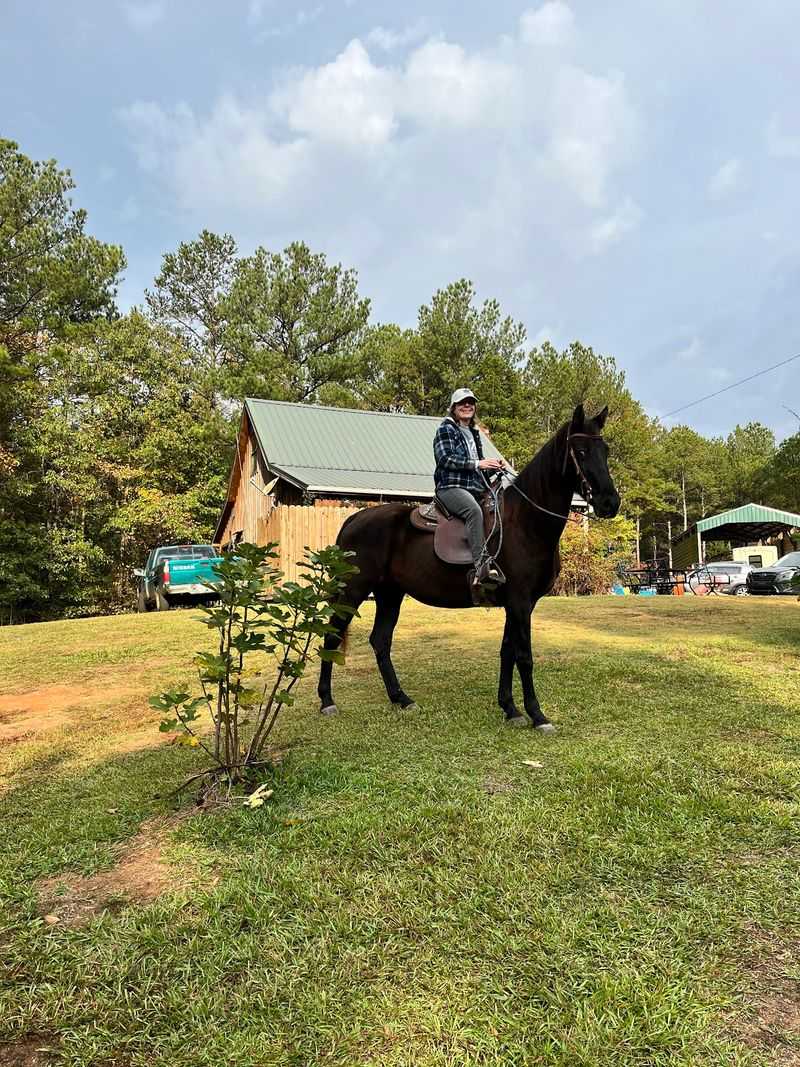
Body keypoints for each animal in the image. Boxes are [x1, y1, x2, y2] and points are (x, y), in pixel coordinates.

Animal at [317, 404, 620, 730]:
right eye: (581, 450)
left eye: (605, 449)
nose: (610, 502)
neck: (525, 522)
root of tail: (354, 519)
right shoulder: (520, 602)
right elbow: (524, 656)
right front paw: (537, 715)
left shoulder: (517, 604)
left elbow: (507, 651)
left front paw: (510, 708)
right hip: (354, 592)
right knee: (332, 635)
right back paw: (327, 701)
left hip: (389, 594)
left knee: (380, 641)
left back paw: (402, 699)